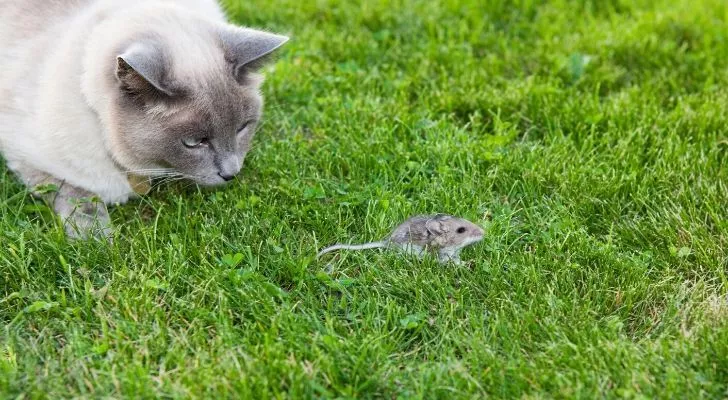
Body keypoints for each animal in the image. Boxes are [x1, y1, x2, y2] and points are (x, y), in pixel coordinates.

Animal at [0, 0, 290, 238]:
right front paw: (97, 238)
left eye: (242, 128)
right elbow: (74, 193)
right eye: (194, 142)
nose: (231, 174)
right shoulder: (26, 157)